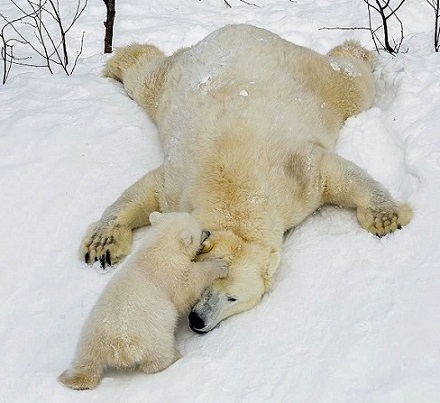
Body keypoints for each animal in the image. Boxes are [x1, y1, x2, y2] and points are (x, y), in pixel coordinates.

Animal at [81, 26, 412, 334]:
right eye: (201, 285)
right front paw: (101, 247)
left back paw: (359, 52)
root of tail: (240, 29)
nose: (197, 320)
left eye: (233, 298)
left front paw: (386, 219)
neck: (233, 190)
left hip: (314, 82)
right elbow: (145, 192)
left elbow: (336, 174)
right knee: (147, 80)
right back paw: (118, 62)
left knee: (352, 85)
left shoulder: (295, 177)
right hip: (176, 81)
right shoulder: (180, 182)